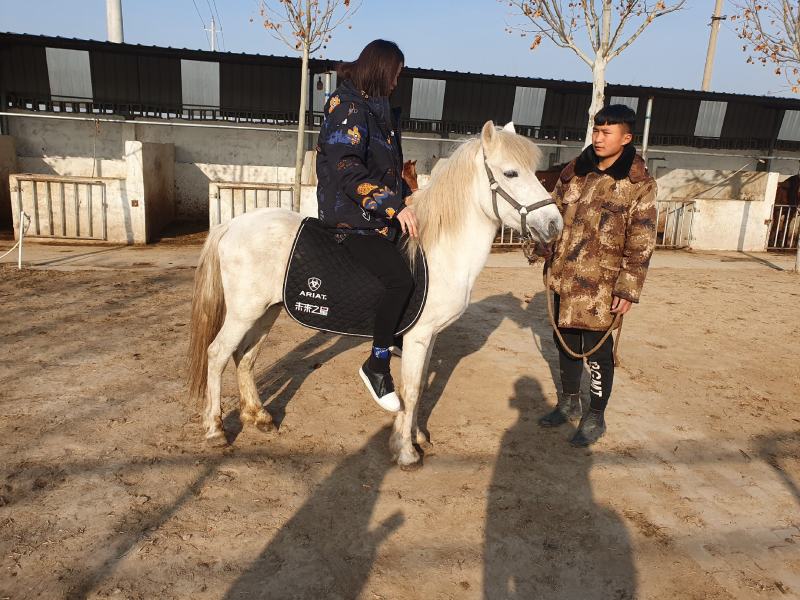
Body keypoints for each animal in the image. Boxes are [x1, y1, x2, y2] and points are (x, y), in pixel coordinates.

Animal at [187, 121, 564, 469]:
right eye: (511, 172)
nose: (555, 225)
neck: (438, 251)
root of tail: (231, 225)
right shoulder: (417, 336)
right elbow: (409, 391)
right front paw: (406, 451)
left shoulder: (430, 337)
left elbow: (420, 387)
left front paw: (415, 436)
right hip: (243, 313)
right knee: (218, 355)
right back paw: (215, 429)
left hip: (266, 311)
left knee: (245, 357)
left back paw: (258, 416)